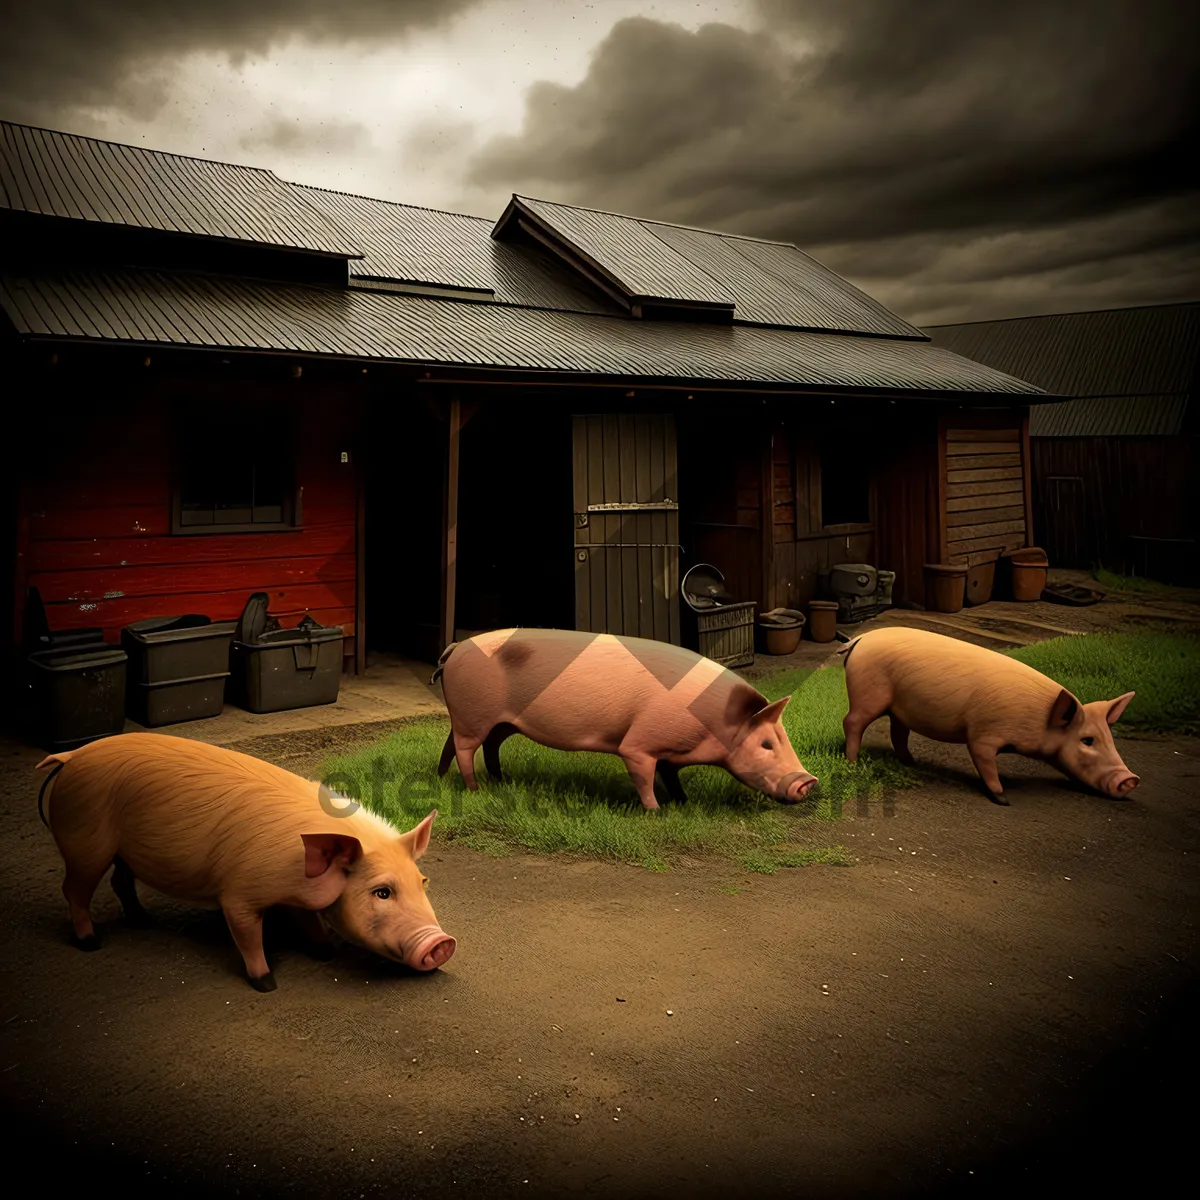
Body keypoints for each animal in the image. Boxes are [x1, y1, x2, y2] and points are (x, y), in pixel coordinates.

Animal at [37, 729, 456, 993]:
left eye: (422, 882)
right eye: (382, 891)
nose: (442, 943)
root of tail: (72, 756)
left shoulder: (299, 897)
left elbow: (309, 922)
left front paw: (326, 953)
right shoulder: (238, 894)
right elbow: (247, 936)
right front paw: (266, 984)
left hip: (119, 852)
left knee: (120, 881)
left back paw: (144, 921)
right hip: (85, 842)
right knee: (73, 890)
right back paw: (91, 943)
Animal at [432, 624, 816, 811]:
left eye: (783, 738)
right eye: (766, 744)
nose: (808, 782)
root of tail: (456, 648)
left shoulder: (670, 753)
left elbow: (670, 775)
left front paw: (683, 802)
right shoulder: (639, 743)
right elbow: (644, 776)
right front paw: (655, 811)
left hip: (496, 722)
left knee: (475, 746)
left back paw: (491, 779)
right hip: (474, 716)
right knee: (466, 750)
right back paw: (476, 788)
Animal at [840, 628, 1137, 806]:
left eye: (1110, 739)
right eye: (1087, 740)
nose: (1131, 780)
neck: (1038, 719)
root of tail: (859, 639)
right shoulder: (984, 733)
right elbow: (985, 762)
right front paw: (1003, 799)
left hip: (899, 708)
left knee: (898, 732)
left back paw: (911, 762)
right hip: (868, 695)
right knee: (852, 722)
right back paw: (852, 763)